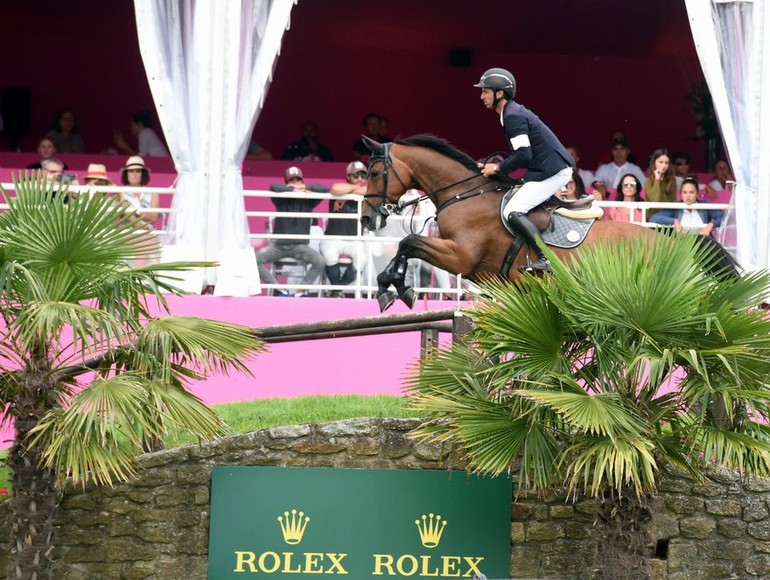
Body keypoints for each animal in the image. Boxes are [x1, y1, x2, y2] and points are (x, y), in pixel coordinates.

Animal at [362, 134, 736, 312]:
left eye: (376, 172)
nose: (366, 217)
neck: (464, 194)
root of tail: (671, 241)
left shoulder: (459, 256)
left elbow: (408, 243)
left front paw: (393, 288)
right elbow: (405, 246)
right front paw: (392, 287)